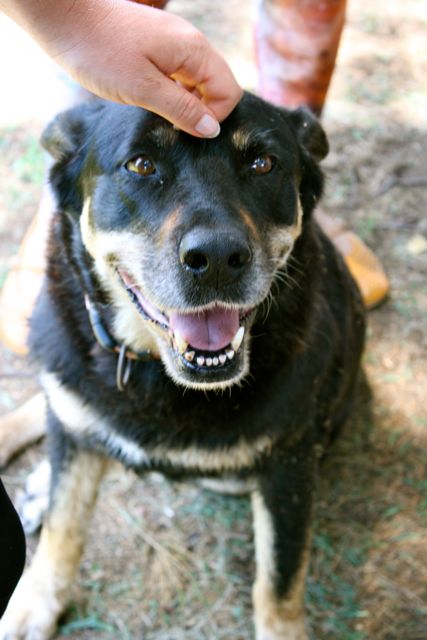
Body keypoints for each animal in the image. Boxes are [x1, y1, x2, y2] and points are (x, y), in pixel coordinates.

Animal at [0, 92, 368, 640]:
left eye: (263, 163)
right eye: (140, 164)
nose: (216, 258)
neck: (152, 368)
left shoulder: (289, 467)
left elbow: (279, 581)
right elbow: (64, 529)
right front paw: (35, 603)